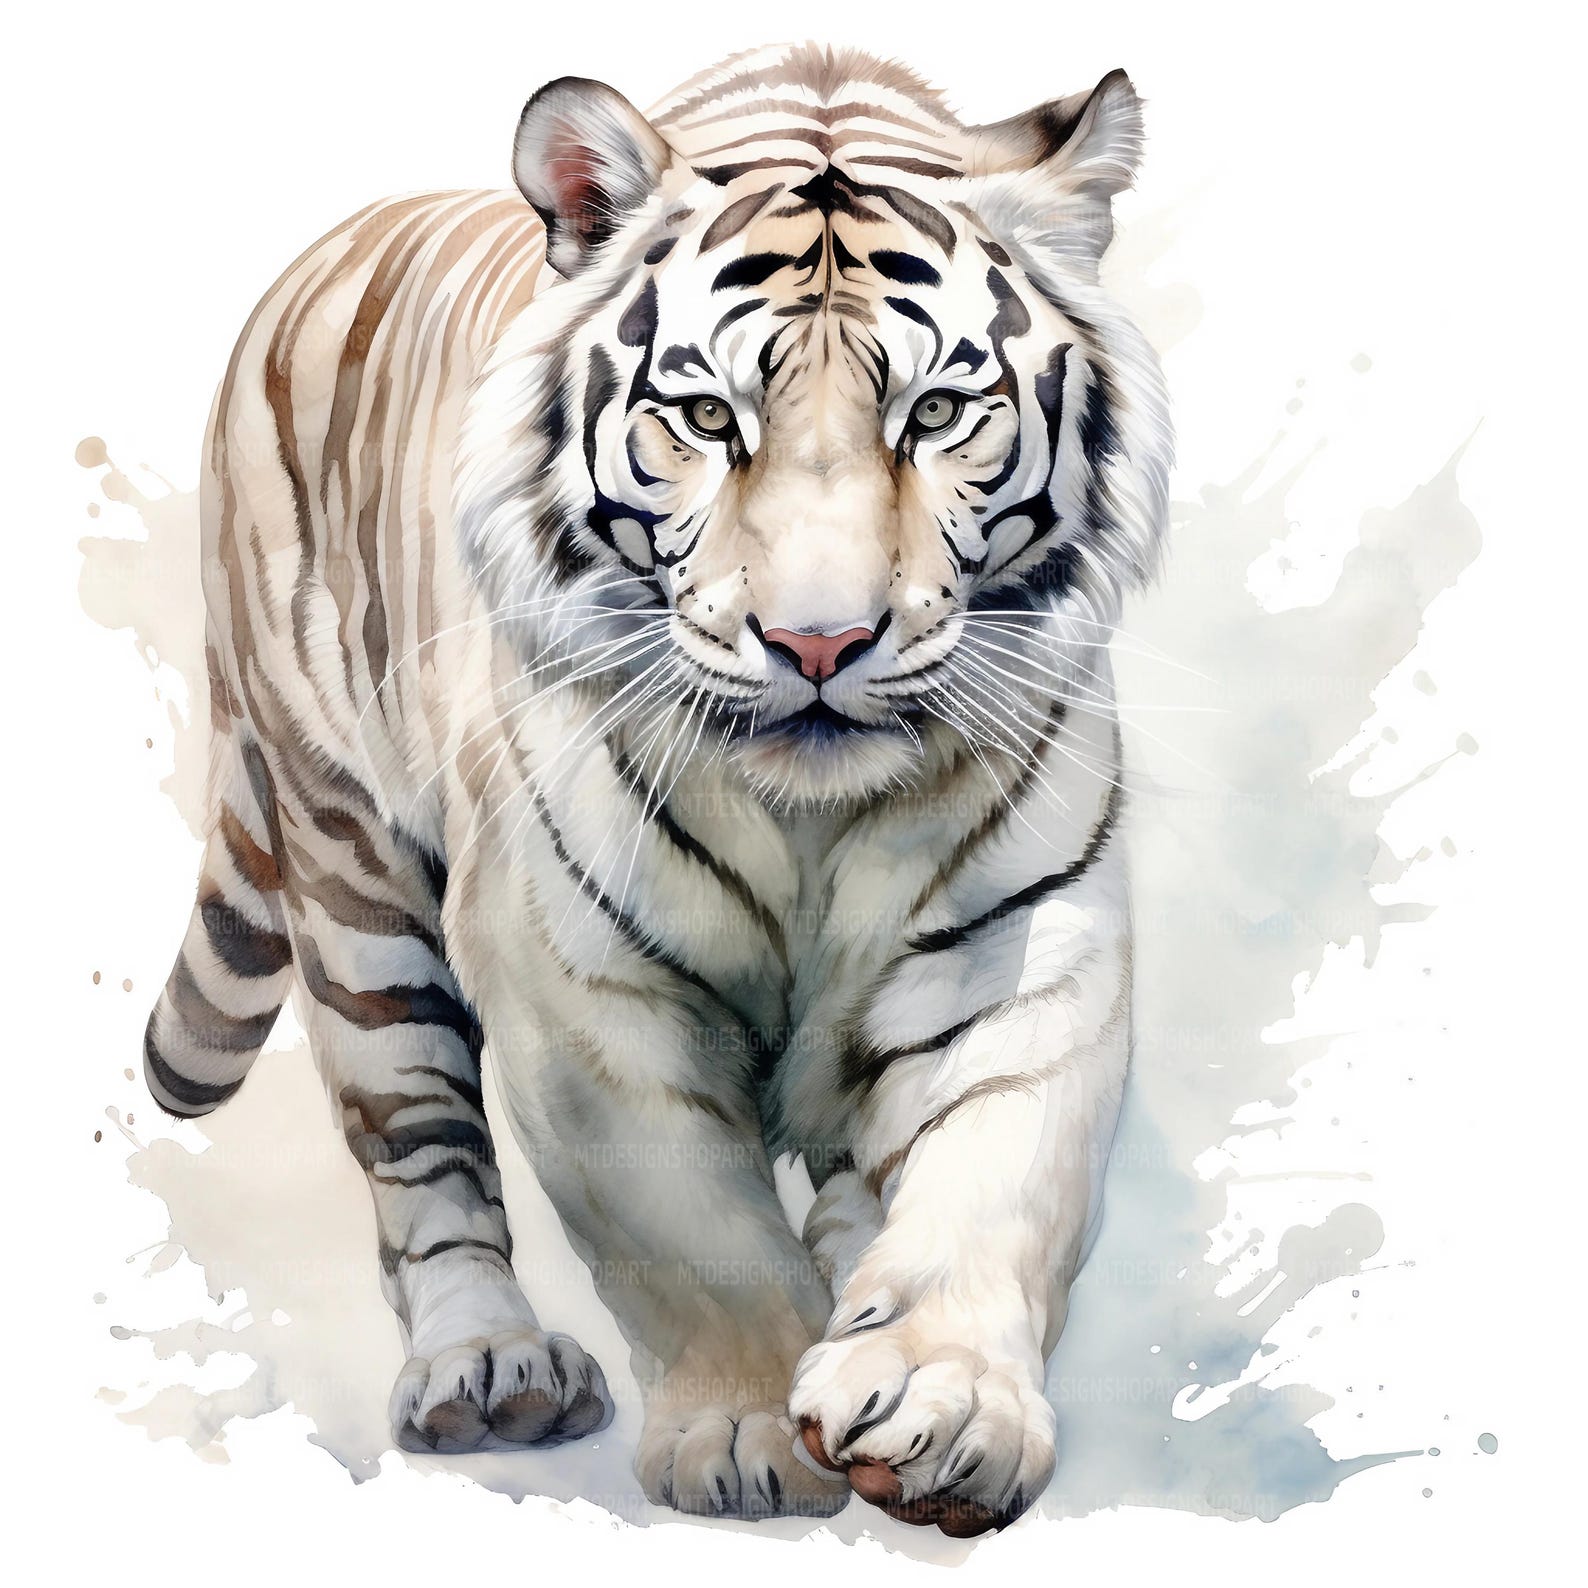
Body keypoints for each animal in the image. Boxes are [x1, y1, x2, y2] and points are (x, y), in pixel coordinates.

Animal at [143, 41, 1170, 1535]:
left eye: (934, 412)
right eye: (704, 418)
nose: (819, 643)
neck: (815, 819)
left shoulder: (1022, 941)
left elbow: (992, 1174)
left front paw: (935, 1405)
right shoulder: (579, 980)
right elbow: (691, 1228)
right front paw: (748, 1434)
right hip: (348, 864)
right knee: (420, 1141)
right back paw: (490, 1366)